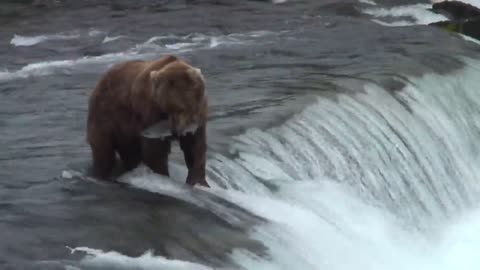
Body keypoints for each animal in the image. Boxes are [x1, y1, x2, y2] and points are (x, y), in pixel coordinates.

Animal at [86, 53, 208, 187]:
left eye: (180, 109)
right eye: (165, 110)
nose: (174, 132)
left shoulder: (199, 116)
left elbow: (195, 146)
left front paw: (198, 181)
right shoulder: (149, 113)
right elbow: (155, 150)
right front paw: (163, 176)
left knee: (130, 152)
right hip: (107, 116)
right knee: (104, 151)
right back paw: (102, 173)